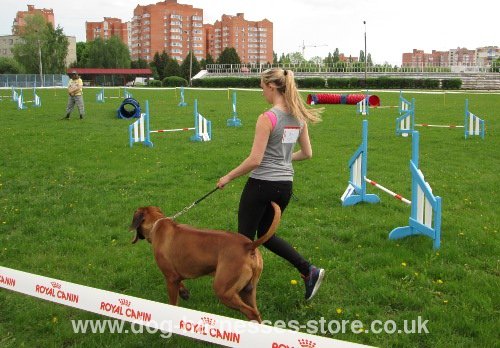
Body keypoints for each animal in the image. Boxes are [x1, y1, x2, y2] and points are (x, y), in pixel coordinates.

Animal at [129, 203, 280, 322]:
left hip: (223, 290)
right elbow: (180, 282)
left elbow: (173, 303)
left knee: (251, 313)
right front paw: (184, 292)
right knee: (256, 313)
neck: (156, 224)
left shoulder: (170, 278)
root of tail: (248, 245)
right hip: (248, 291)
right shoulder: (175, 276)